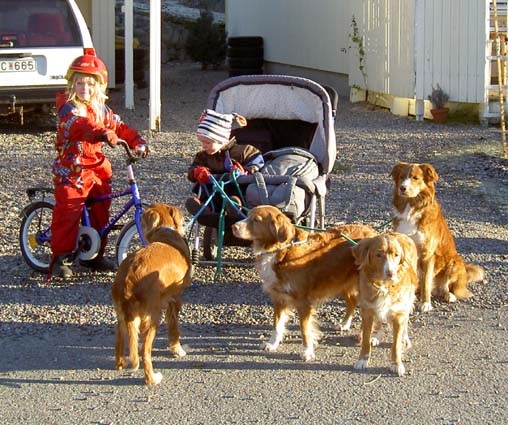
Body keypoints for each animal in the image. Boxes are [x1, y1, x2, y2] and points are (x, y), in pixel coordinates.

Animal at [111, 202, 190, 384]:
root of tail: (128, 280)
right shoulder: (175, 300)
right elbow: (174, 329)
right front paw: (177, 349)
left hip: (122, 315)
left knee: (120, 340)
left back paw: (121, 364)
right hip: (152, 316)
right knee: (144, 351)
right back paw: (152, 379)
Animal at [231, 205, 378, 362]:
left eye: (256, 220)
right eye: (247, 215)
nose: (233, 226)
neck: (282, 250)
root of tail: (373, 233)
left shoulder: (303, 302)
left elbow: (304, 329)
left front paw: (307, 351)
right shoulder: (278, 298)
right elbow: (277, 324)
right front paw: (273, 344)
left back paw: (371, 337)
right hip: (342, 281)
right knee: (352, 302)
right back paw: (344, 324)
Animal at [352, 232, 418, 374]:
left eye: (396, 255)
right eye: (378, 254)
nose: (391, 273)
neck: (384, 286)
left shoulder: (398, 313)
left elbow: (396, 344)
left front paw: (397, 364)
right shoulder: (367, 311)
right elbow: (365, 339)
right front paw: (362, 360)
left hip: (408, 300)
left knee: (405, 321)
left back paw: (405, 338)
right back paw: (376, 336)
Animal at [390, 162, 486, 312]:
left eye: (415, 178)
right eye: (401, 177)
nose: (402, 188)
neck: (411, 208)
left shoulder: (428, 255)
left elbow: (426, 282)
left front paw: (425, 303)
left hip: (454, 263)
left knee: (448, 288)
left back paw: (449, 295)